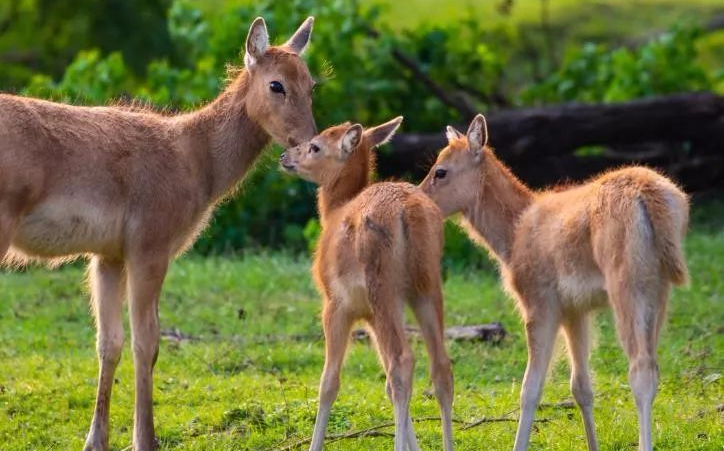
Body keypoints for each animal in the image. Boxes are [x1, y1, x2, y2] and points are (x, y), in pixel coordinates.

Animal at [0, 17, 317, 451]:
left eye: (312, 83)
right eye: (276, 85)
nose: (311, 143)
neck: (200, 167)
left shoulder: (109, 253)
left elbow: (109, 342)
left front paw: (95, 441)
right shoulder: (151, 240)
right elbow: (147, 343)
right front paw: (145, 439)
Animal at [279, 117, 454, 451]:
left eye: (315, 146)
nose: (285, 156)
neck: (334, 211)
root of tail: (409, 212)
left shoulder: (336, 303)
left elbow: (329, 382)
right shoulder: (370, 317)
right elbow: (384, 383)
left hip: (382, 286)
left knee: (403, 362)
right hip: (426, 285)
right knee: (440, 365)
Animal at [420, 114, 689, 451]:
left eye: (440, 171)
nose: (419, 200)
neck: (511, 238)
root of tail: (651, 196)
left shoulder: (538, 299)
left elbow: (530, 388)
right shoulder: (575, 309)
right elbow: (581, 387)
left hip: (626, 280)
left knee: (640, 370)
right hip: (659, 286)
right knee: (652, 366)